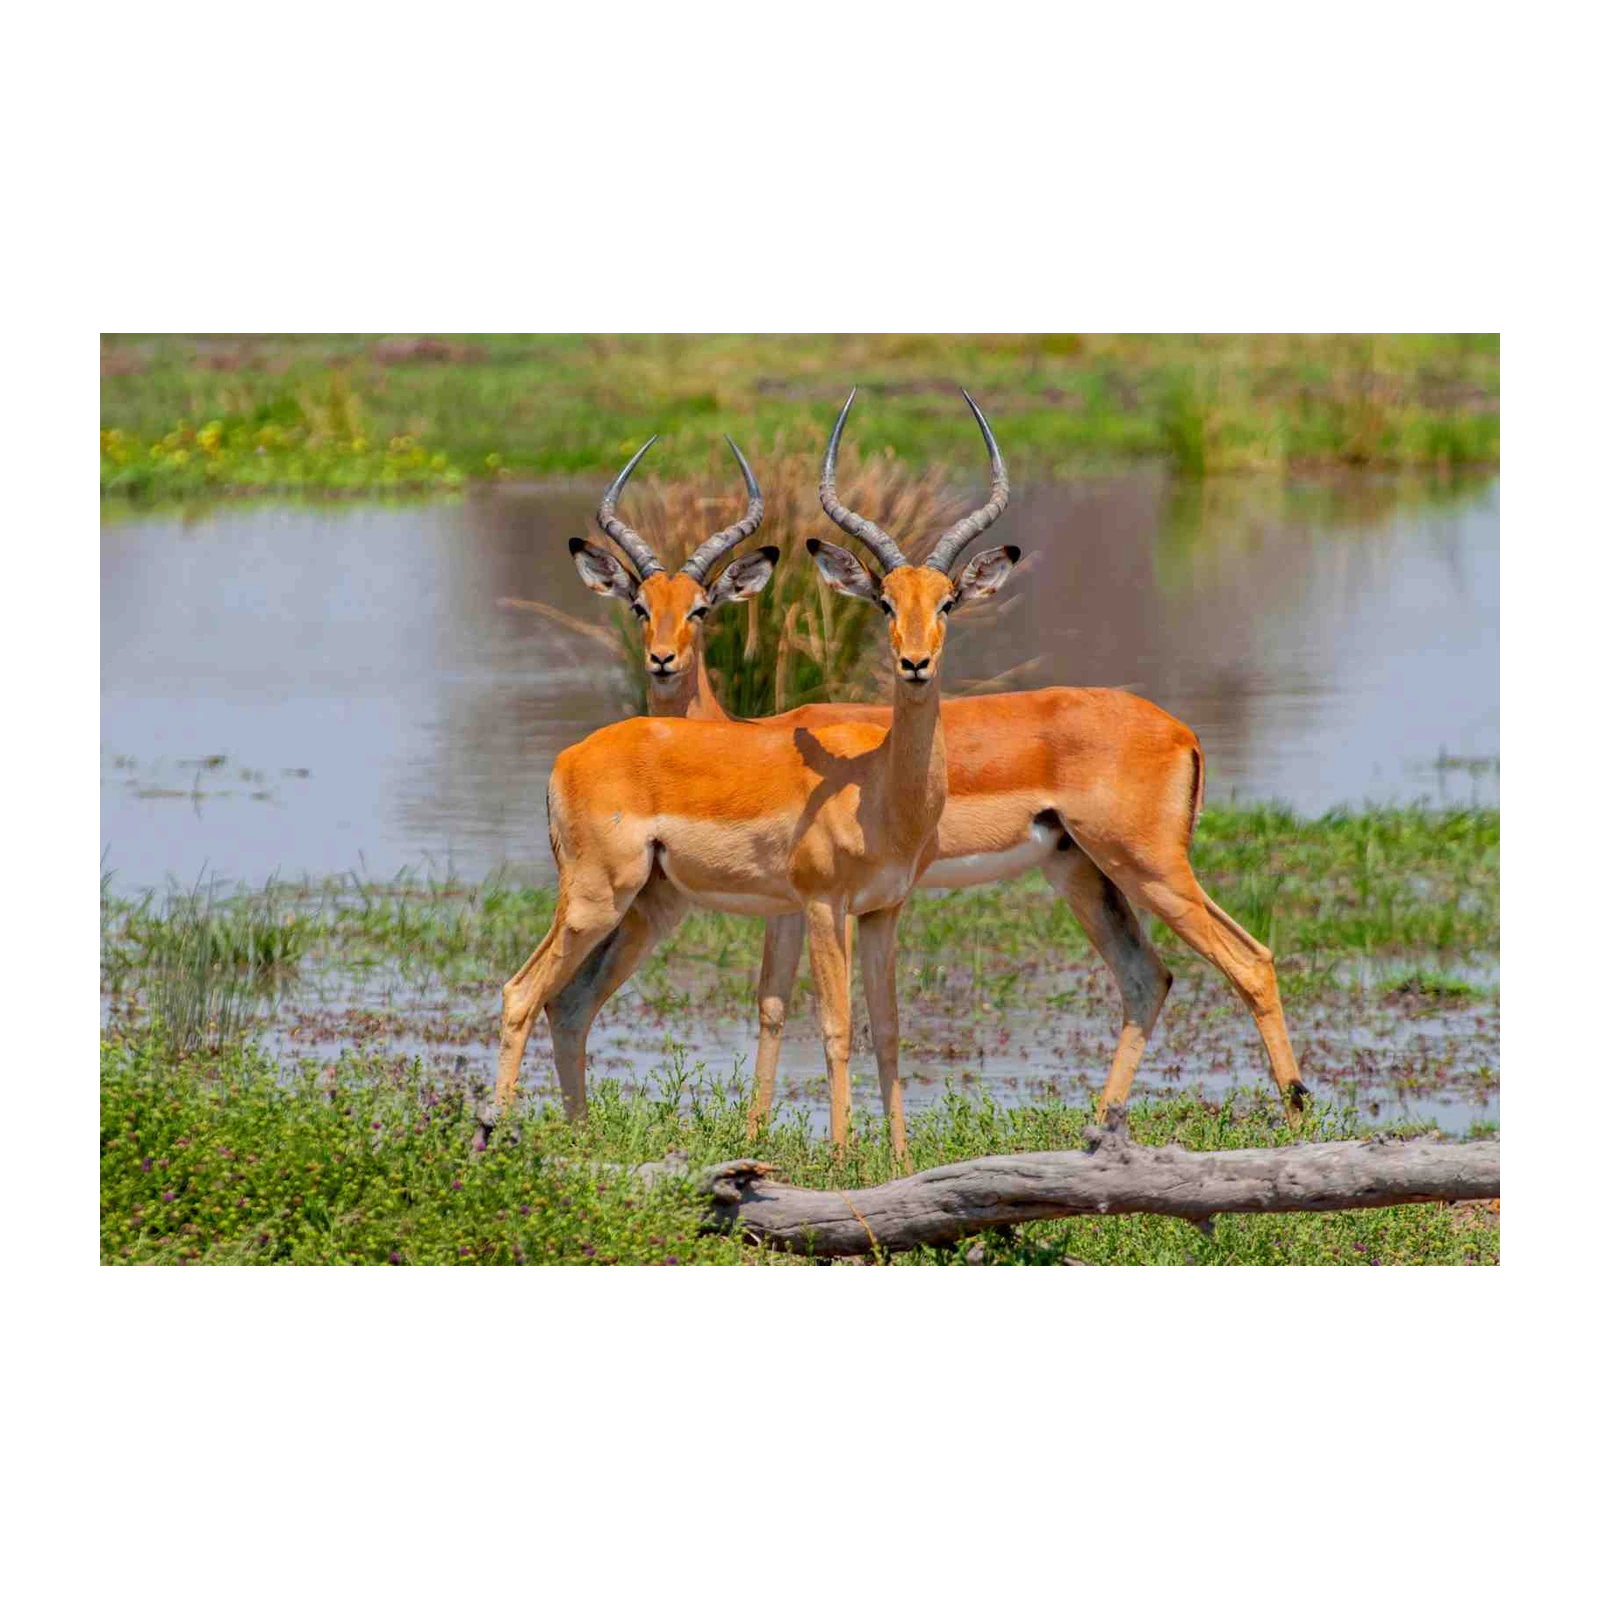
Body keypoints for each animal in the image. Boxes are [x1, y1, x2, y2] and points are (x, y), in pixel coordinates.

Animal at [492, 391, 1021, 1165]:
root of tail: (571, 756)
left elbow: (890, 1029)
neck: (878, 788)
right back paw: (493, 1135)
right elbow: (834, 1028)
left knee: (569, 1000)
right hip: (594, 898)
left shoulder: (882, 910)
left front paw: (898, 1158)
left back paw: (580, 1136)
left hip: (645, 906)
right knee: (520, 992)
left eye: (947, 601)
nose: (915, 664)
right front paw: (841, 1158)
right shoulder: (823, 906)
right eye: (885, 603)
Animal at [551, 398, 1311, 1135]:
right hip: (1086, 871)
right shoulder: (796, 906)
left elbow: (802, 1011)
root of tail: (1182, 732)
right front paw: (758, 1136)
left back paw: (1295, 1114)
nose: (661, 660)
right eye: (639, 607)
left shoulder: (818, 905)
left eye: (702, 609)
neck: (744, 739)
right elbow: (773, 1005)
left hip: (1151, 867)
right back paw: (1102, 1126)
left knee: (1250, 960)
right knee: (1148, 978)